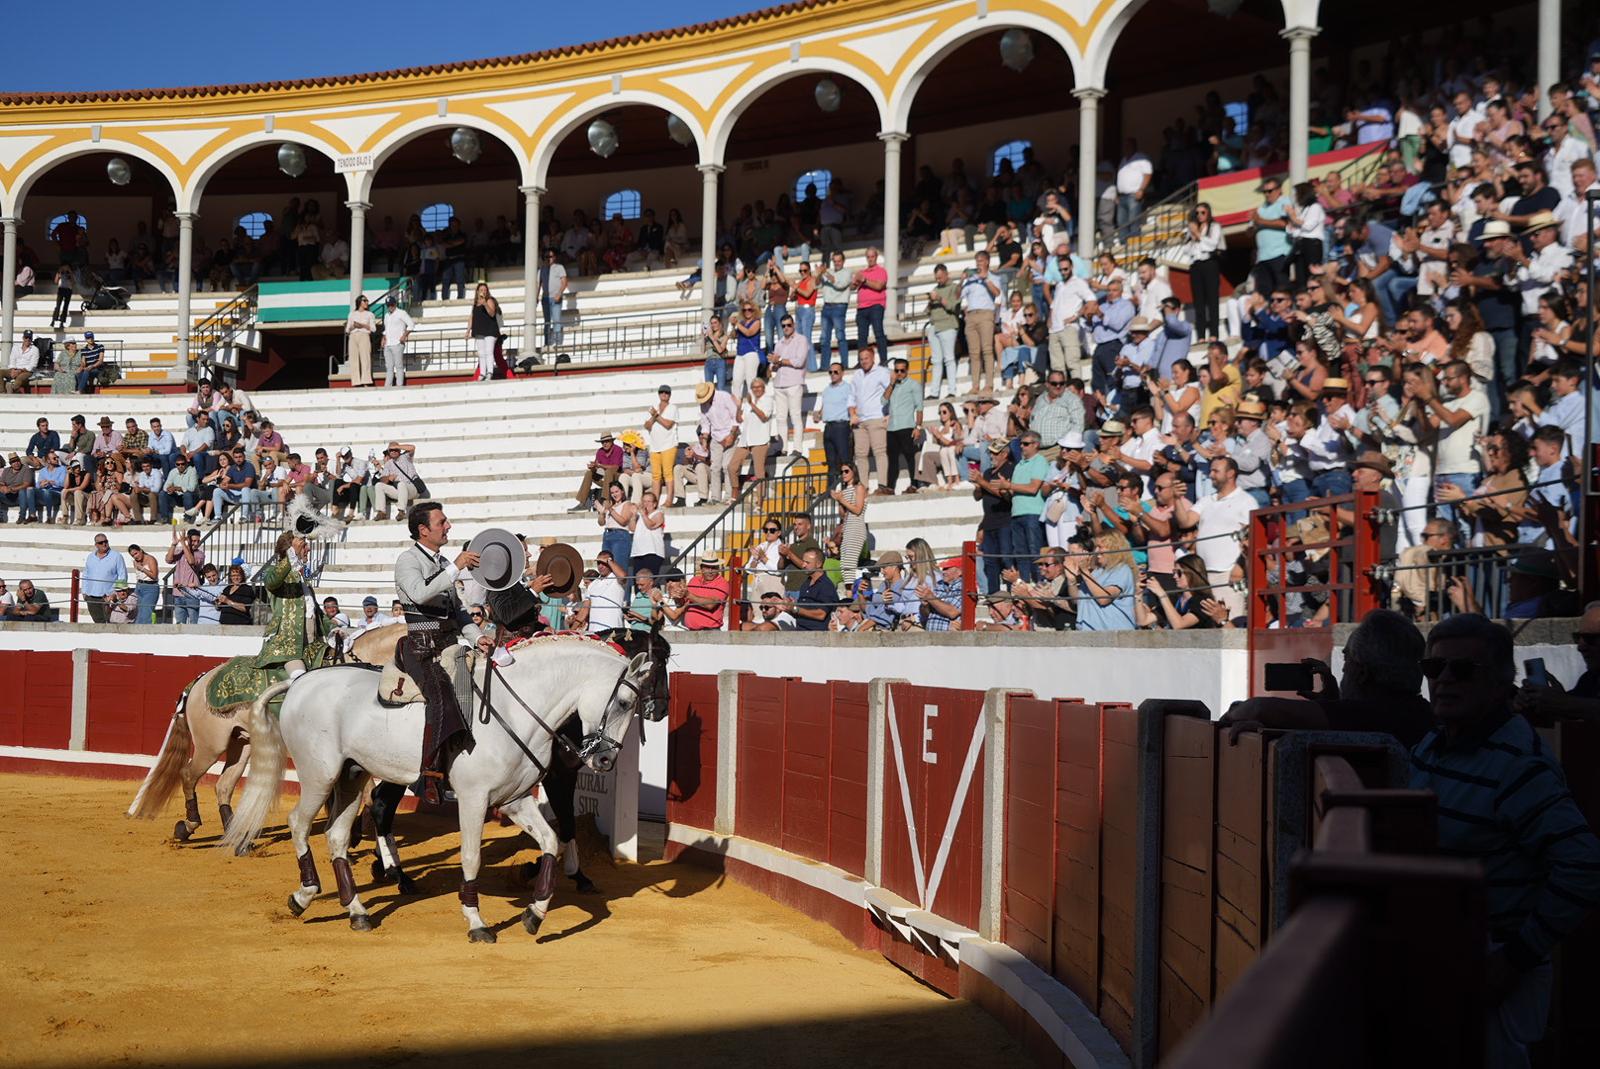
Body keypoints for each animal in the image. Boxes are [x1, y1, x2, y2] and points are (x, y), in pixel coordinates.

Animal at [128, 620, 409, 838]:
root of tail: (200, 680)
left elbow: (365, 793)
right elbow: (366, 793)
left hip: (242, 744)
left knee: (224, 785)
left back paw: (236, 837)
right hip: (211, 746)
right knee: (188, 774)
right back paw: (189, 825)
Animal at [219, 640, 656, 940]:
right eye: (623, 701)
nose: (604, 760)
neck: (515, 712)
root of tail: (301, 682)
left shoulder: (514, 800)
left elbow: (551, 841)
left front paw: (535, 913)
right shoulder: (474, 800)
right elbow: (471, 857)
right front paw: (477, 921)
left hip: (351, 776)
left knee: (338, 836)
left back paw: (357, 911)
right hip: (319, 775)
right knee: (299, 823)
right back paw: (305, 894)